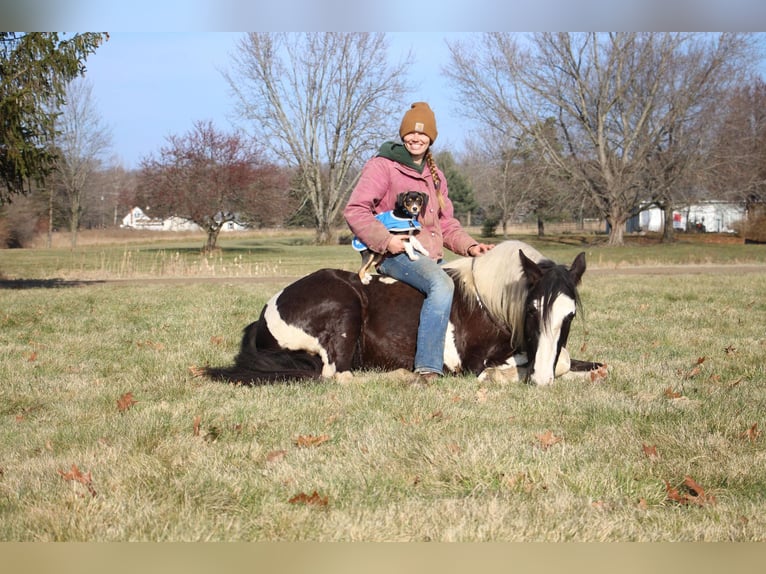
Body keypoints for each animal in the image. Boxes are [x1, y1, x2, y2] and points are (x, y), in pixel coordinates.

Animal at [204, 240, 608, 388]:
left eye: (570, 316)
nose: (540, 381)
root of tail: (266, 311)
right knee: (337, 376)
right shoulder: (475, 362)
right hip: (344, 310)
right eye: (531, 309)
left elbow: (575, 361)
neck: (489, 302)